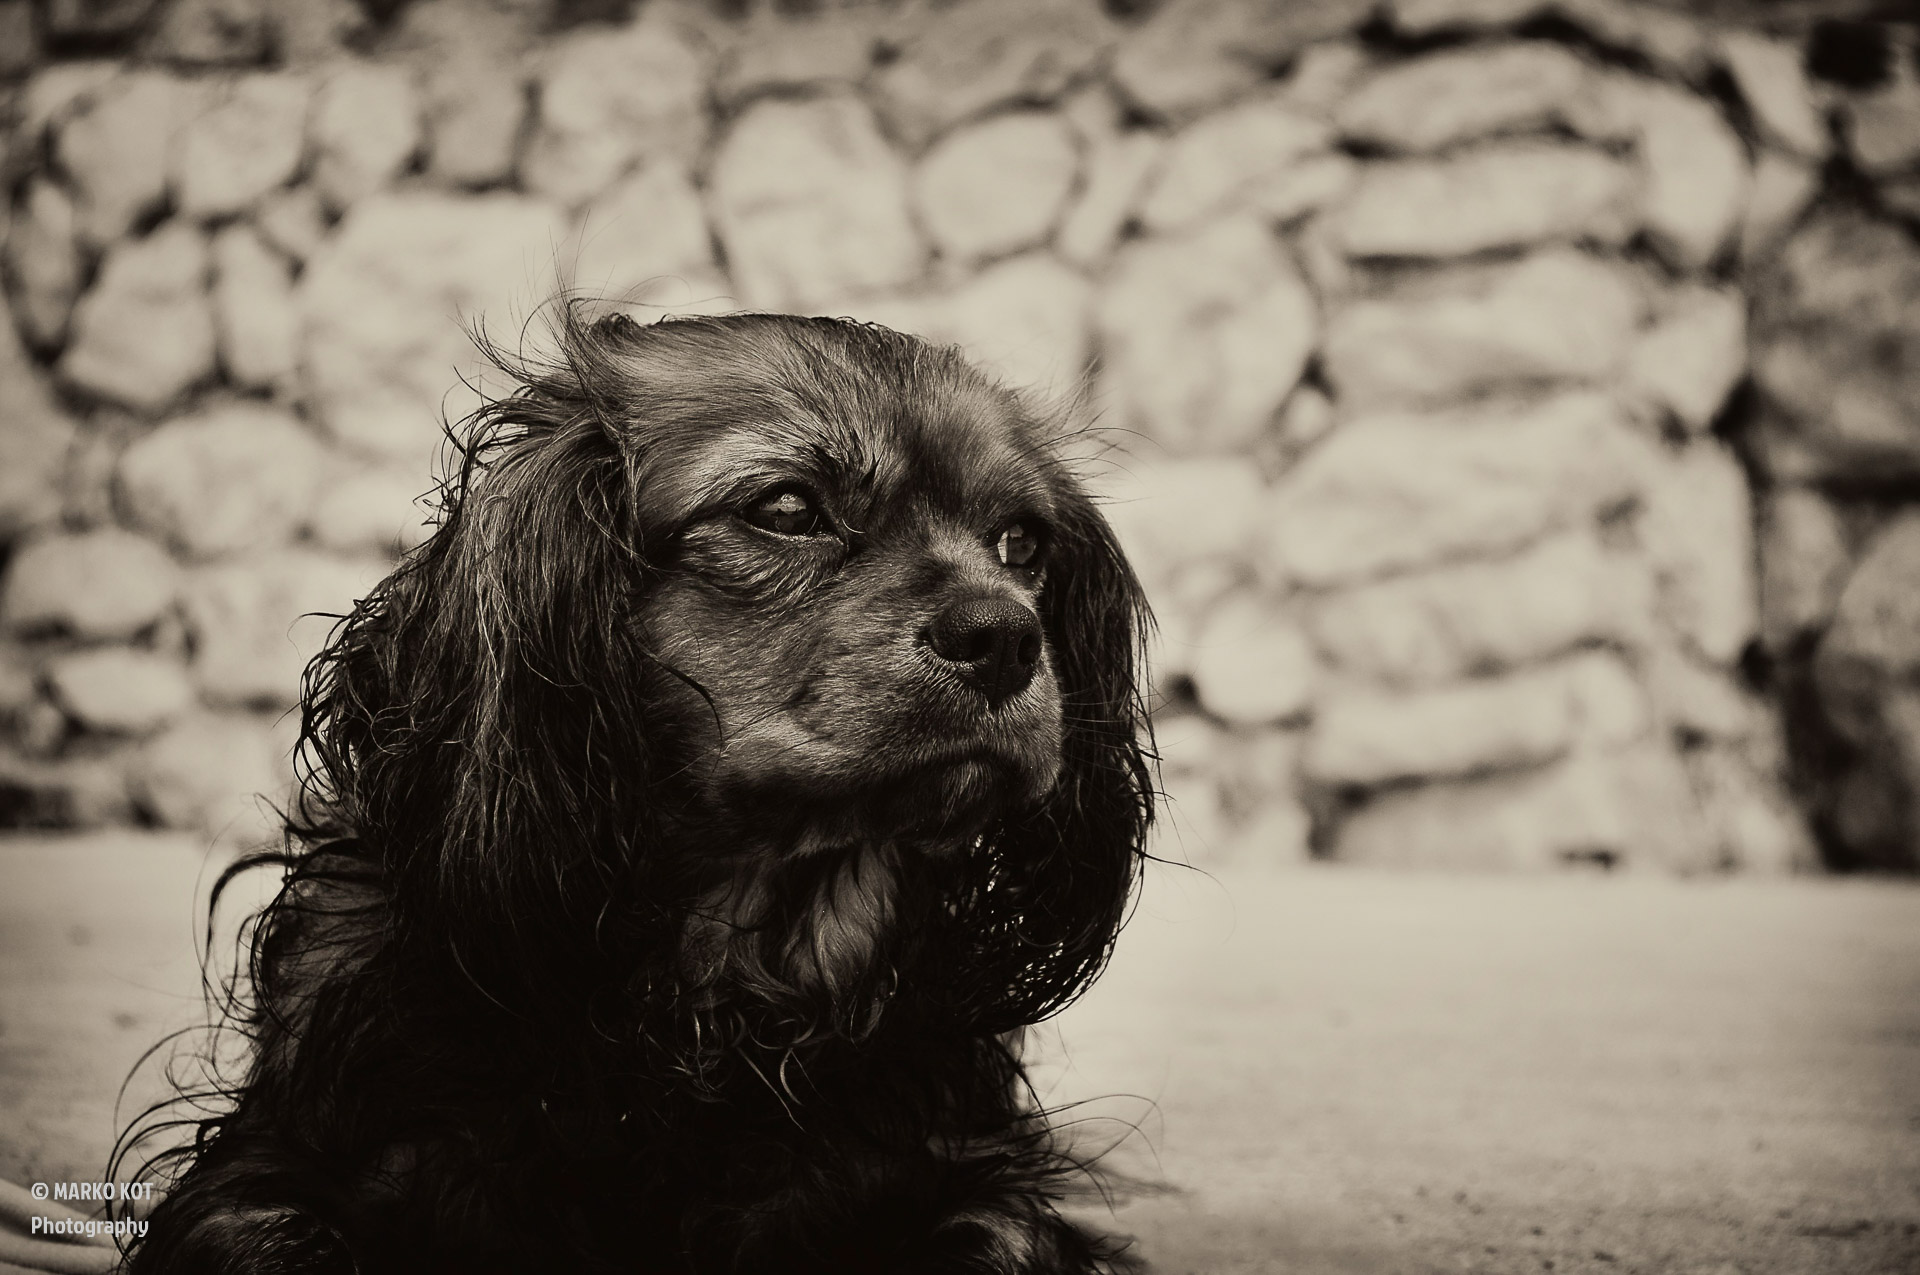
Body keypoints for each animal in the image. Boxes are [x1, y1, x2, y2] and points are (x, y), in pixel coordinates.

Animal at [127, 311, 1159, 1275]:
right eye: (787, 506)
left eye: (1022, 541)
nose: (1006, 637)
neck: (710, 1006)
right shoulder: (277, 1171)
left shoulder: (972, 1180)